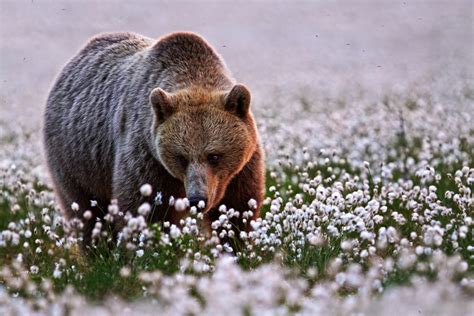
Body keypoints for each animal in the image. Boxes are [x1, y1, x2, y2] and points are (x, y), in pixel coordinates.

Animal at [44, 30, 264, 246]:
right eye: (181, 157)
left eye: (214, 155)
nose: (197, 200)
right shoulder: (147, 160)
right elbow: (145, 210)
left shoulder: (241, 170)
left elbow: (238, 209)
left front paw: (236, 245)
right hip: (76, 161)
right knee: (87, 213)